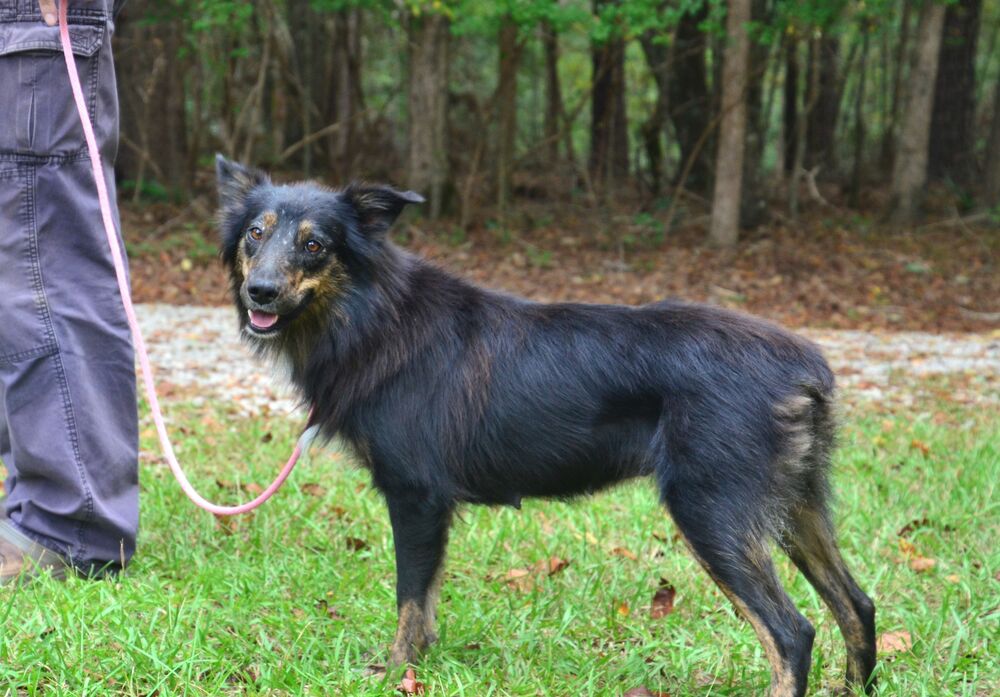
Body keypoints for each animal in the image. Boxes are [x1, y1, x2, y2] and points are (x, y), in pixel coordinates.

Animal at [217, 158, 876, 696]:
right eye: (255, 233)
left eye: (315, 245)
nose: (260, 293)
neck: (368, 314)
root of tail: (804, 367)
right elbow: (425, 608)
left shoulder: (416, 497)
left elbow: (410, 603)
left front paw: (395, 673)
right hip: (795, 508)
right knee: (857, 606)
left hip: (711, 511)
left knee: (791, 633)